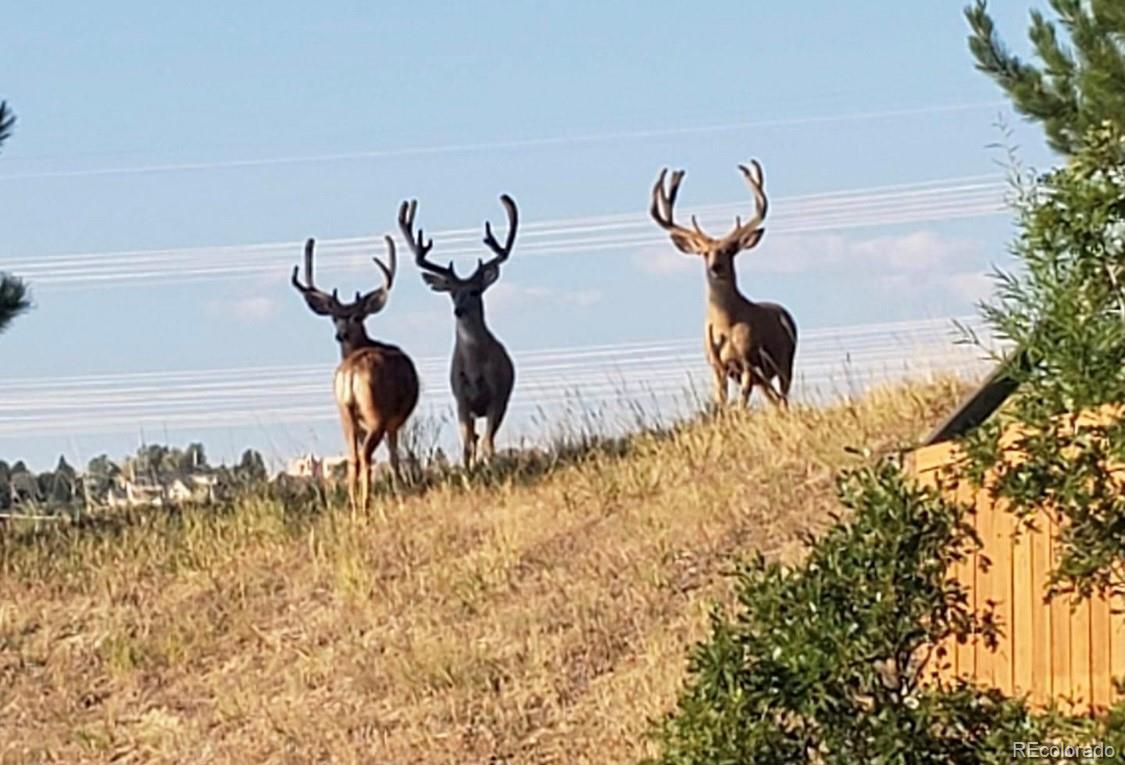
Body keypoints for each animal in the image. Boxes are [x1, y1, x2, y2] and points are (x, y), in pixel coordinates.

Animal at [290, 236, 418, 510]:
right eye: (334, 317)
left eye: (358, 316)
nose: (341, 334)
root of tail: (351, 372)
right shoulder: (394, 422)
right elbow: (394, 457)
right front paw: (399, 492)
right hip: (375, 413)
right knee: (366, 456)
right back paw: (365, 504)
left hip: (345, 414)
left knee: (353, 458)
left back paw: (354, 506)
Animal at [400, 194, 517, 470]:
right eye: (452, 292)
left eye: (475, 291)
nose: (459, 310)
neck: (474, 367)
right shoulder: (461, 399)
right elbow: (467, 445)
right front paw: (469, 469)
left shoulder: (498, 395)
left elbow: (488, 443)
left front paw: (489, 465)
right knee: (473, 438)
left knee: (485, 438)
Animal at [652, 159, 801, 411]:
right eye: (704, 253)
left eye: (730, 250)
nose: (715, 267)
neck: (726, 324)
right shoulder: (717, 366)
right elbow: (721, 401)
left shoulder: (749, 361)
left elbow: (742, 402)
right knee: (773, 397)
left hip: (784, 360)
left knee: (783, 395)